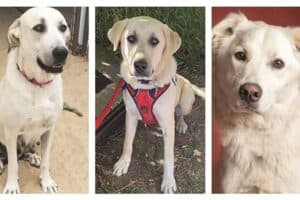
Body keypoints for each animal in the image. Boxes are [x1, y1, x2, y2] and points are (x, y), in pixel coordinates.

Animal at [0, 7, 70, 194]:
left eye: (63, 27)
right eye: (39, 27)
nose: (62, 52)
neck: (38, 86)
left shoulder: (49, 130)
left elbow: (46, 161)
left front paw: (46, 181)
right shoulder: (11, 132)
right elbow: (14, 165)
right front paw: (12, 186)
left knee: (24, 153)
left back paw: (32, 157)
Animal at [107, 16, 204, 193]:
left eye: (154, 41)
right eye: (131, 38)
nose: (140, 65)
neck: (146, 86)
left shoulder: (167, 124)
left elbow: (169, 156)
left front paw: (168, 181)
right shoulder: (130, 116)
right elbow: (127, 143)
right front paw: (123, 163)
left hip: (186, 101)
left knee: (180, 114)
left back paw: (181, 124)